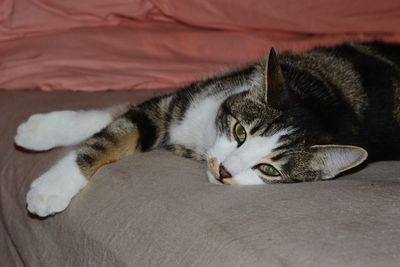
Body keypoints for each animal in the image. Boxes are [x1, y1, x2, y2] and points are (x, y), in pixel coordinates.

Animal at [14, 41, 400, 218]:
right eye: (241, 131)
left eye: (268, 170)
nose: (224, 170)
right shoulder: (191, 99)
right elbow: (119, 122)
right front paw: (40, 132)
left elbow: (120, 130)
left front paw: (50, 188)